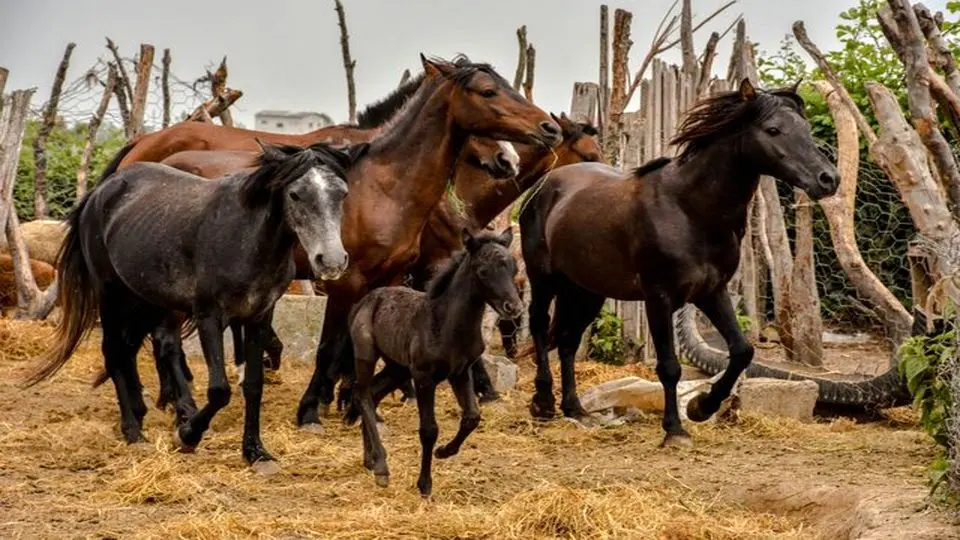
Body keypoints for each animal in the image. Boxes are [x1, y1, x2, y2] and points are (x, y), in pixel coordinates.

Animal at [22, 140, 362, 472]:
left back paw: (142, 413)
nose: (331, 261)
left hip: (145, 299)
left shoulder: (259, 317)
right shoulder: (209, 316)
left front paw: (256, 452)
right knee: (115, 352)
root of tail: (101, 191)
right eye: (295, 194)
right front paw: (187, 435)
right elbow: (220, 389)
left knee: (134, 349)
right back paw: (133, 431)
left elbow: (253, 385)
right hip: (112, 295)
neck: (247, 238)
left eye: (342, 193)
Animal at [344, 226, 520, 496]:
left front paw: (444, 452)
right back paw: (381, 467)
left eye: (514, 269)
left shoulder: (461, 372)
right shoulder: (424, 377)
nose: (514, 307)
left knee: (372, 395)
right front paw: (424, 484)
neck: (446, 324)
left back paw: (370, 460)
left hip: (397, 367)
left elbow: (472, 417)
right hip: (367, 355)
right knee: (362, 395)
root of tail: (363, 301)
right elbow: (429, 429)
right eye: (483, 271)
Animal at [516, 78, 840, 446]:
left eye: (806, 128)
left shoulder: (712, 292)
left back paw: (576, 409)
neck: (690, 210)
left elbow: (742, 350)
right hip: (544, 278)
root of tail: (547, 186)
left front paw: (702, 406)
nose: (828, 179)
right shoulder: (659, 298)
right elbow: (669, 366)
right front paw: (674, 429)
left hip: (587, 290)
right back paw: (543, 402)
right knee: (540, 327)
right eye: (773, 129)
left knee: (568, 340)